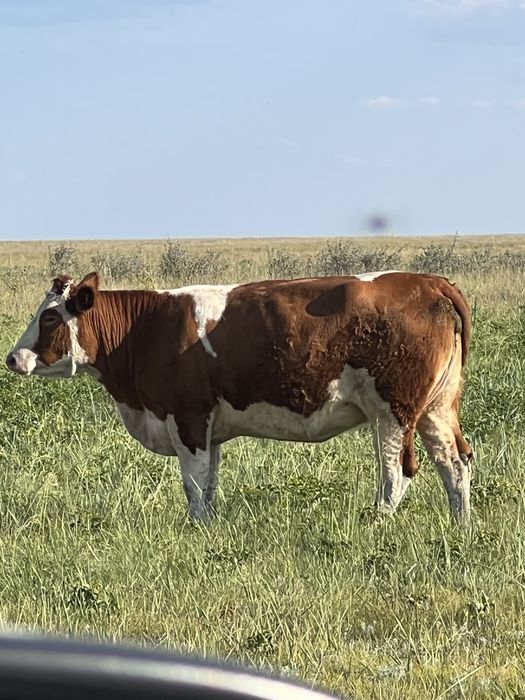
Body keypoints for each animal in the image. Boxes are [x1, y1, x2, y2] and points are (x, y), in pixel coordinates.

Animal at [6, 271, 473, 524]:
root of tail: (428, 282)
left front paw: (195, 528)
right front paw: (208, 525)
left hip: (394, 410)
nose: (12, 357)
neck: (147, 328)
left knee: (398, 472)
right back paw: (461, 524)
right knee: (455, 462)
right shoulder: (208, 426)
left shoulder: (188, 417)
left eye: (50, 317)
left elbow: (193, 484)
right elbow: (208, 483)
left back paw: (375, 523)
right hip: (436, 408)